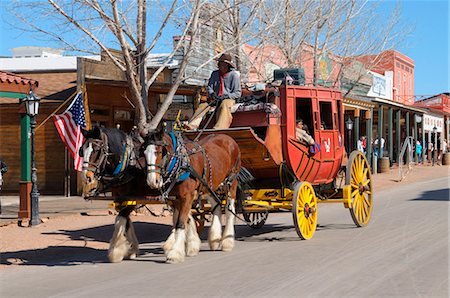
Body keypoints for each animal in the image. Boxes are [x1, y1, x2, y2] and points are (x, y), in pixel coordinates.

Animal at [144, 130, 243, 264]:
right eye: (144, 153)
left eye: (158, 152)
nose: (152, 181)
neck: (180, 164)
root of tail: (228, 138)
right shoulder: (175, 199)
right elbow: (185, 219)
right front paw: (191, 245)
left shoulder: (187, 196)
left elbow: (180, 223)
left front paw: (175, 253)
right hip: (210, 185)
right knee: (216, 205)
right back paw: (215, 238)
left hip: (231, 182)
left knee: (229, 210)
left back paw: (227, 241)